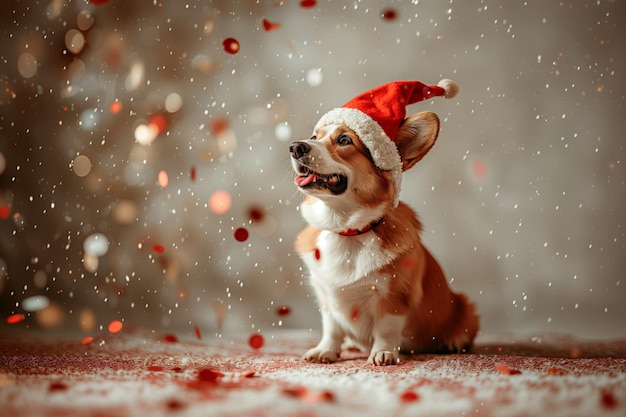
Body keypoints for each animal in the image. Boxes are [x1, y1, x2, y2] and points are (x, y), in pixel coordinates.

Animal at [288, 101, 478, 364]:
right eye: (315, 136)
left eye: (345, 140)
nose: (295, 147)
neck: (347, 231)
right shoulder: (325, 295)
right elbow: (332, 328)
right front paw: (325, 350)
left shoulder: (394, 297)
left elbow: (385, 329)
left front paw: (383, 353)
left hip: (465, 306)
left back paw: (452, 342)